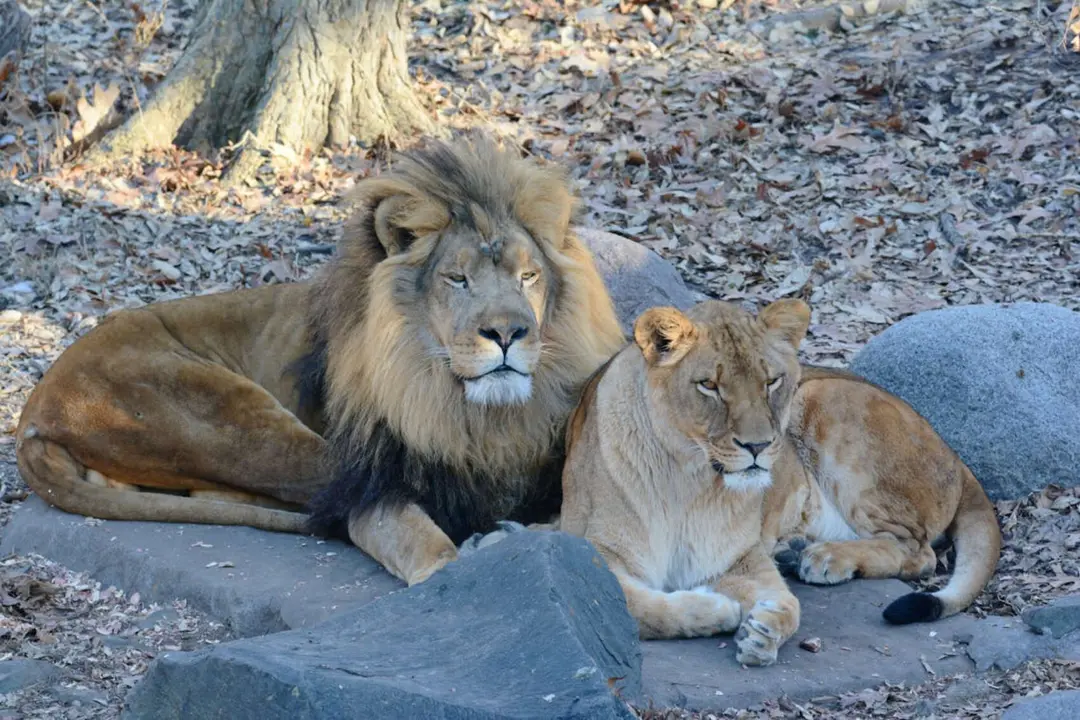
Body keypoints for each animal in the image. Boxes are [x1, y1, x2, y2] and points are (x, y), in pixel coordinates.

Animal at [14, 133, 627, 587]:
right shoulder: (369, 483)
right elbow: (428, 551)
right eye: (457, 278)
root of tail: (33, 411)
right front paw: (475, 554)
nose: (508, 332)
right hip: (237, 420)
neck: (474, 416)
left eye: (528, 276)